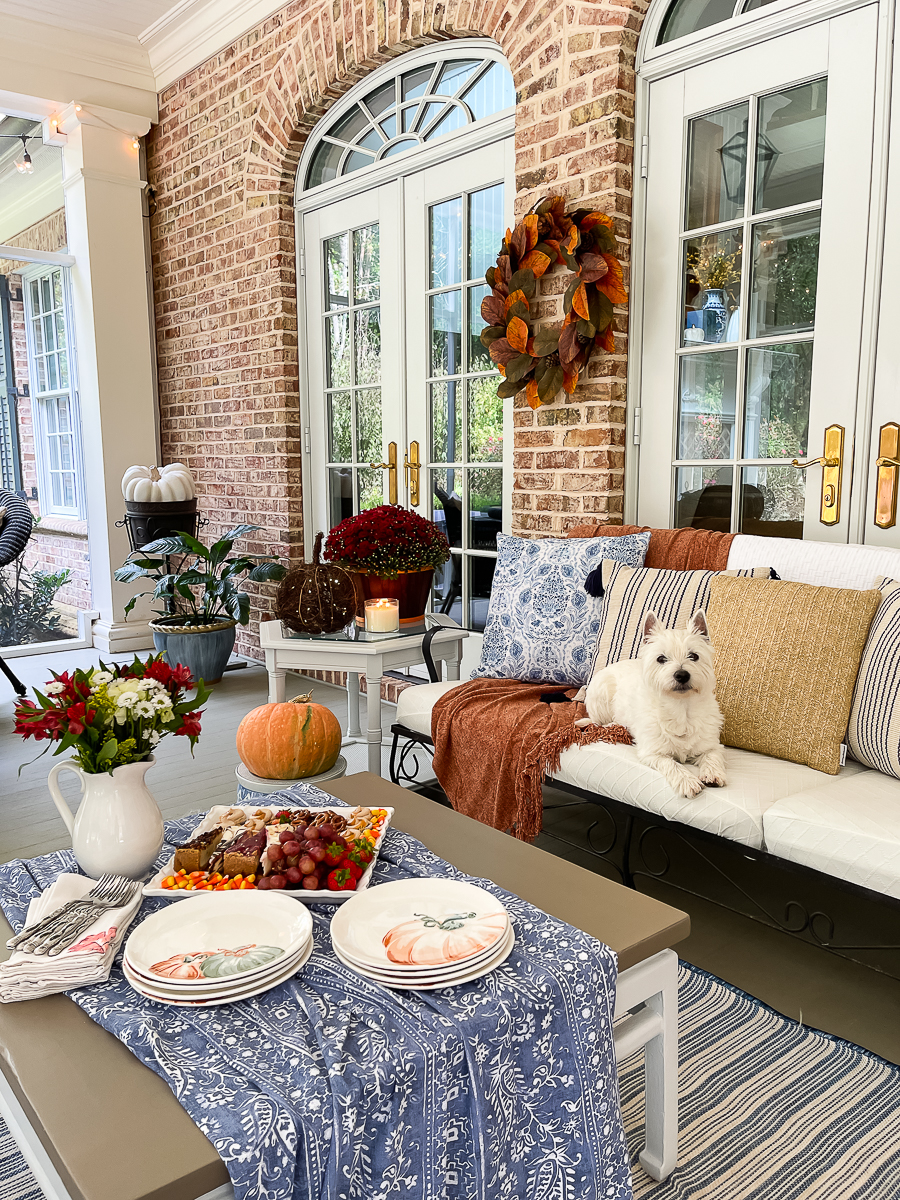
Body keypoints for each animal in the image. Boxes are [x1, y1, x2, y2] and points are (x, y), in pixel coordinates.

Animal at [578, 614, 724, 801]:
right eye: (661, 658)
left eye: (694, 656)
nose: (682, 675)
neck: (681, 708)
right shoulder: (652, 752)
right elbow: (671, 763)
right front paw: (687, 781)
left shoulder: (711, 745)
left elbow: (712, 755)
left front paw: (713, 774)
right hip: (601, 695)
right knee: (598, 722)